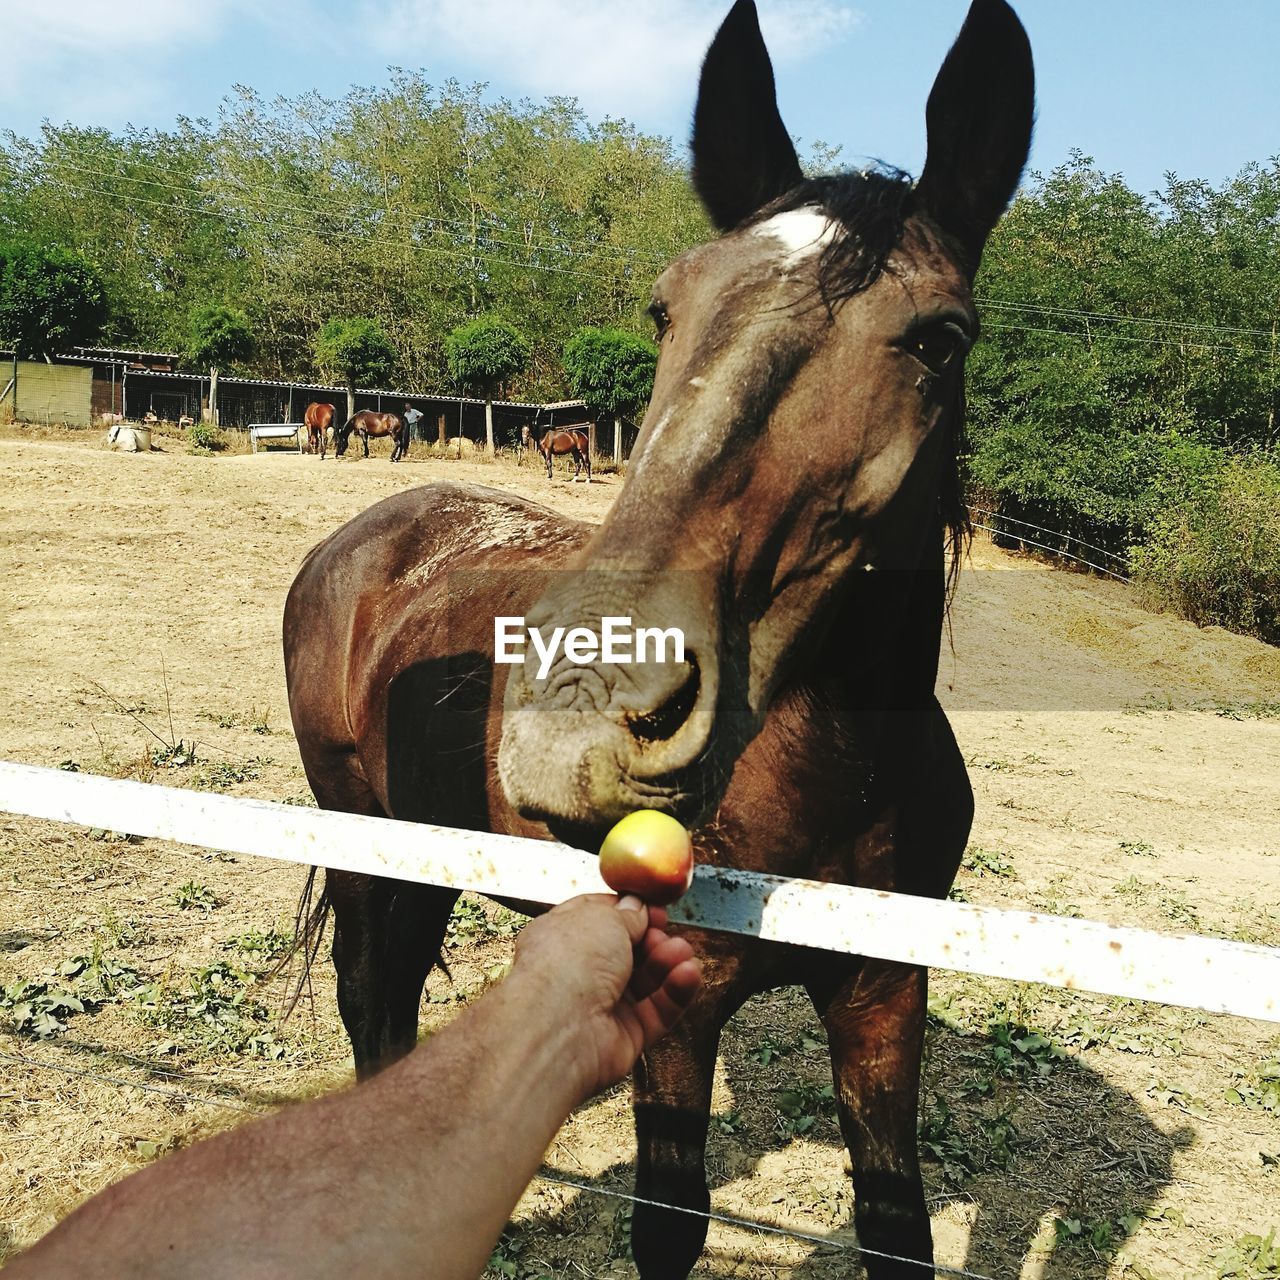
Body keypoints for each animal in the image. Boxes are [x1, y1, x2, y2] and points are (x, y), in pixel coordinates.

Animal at [285, 5, 1034, 1274]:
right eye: (663, 308)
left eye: (940, 339)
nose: (584, 716)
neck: (839, 774)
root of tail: (361, 533)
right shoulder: (681, 1005)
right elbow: (666, 1228)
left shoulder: (886, 995)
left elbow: (899, 1228)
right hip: (371, 839)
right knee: (372, 1006)